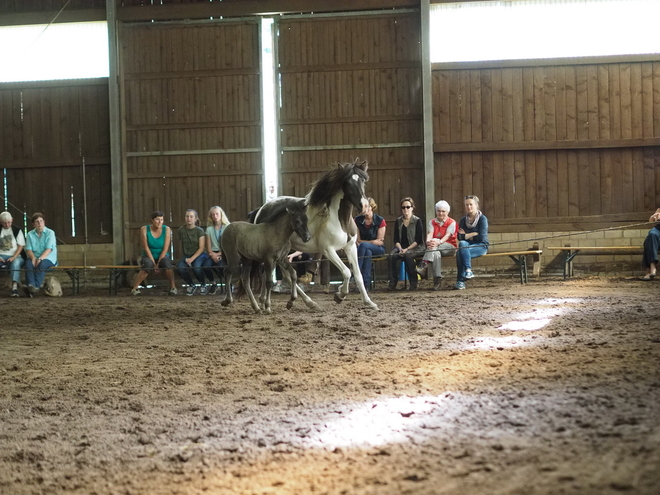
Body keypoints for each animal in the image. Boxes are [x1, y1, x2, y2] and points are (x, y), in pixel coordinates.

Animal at [253, 160, 376, 310]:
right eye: (347, 183)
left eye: (363, 180)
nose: (363, 206)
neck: (339, 219)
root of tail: (261, 210)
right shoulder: (328, 250)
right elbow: (347, 272)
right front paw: (340, 295)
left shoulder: (350, 247)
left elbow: (358, 275)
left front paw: (369, 303)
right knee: (269, 273)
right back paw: (265, 301)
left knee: (285, 275)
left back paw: (308, 302)